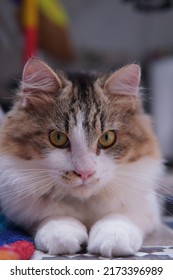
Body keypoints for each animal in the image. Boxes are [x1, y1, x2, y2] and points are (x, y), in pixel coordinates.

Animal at [0, 58, 162, 258]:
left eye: (107, 138)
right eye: (58, 138)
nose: (85, 173)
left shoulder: (145, 204)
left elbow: (121, 215)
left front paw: (114, 237)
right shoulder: (20, 206)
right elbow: (53, 215)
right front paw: (61, 233)